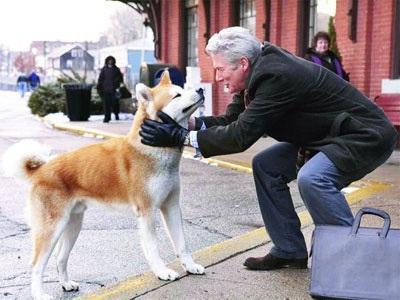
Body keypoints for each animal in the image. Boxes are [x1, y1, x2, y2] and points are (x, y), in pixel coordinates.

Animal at [3, 71, 206, 298]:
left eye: (183, 89)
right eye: (177, 95)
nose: (200, 89)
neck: (153, 149)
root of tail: (41, 170)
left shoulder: (171, 206)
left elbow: (182, 244)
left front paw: (190, 266)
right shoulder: (146, 212)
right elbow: (153, 248)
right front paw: (162, 271)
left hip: (73, 225)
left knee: (60, 258)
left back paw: (66, 284)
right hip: (52, 228)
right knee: (37, 265)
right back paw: (39, 294)